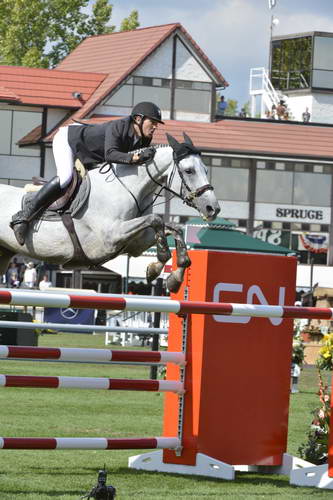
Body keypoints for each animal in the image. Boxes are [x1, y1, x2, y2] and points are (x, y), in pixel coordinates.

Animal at [0, 132, 219, 292]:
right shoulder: (111, 237)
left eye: (207, 170)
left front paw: (173, 277)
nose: (213, 208)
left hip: (4, 253)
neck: (126, 188)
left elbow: (173, 227)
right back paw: (20, 225)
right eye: (189, 170)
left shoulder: (136, 243)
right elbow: (156, 219)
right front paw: (158, 266)